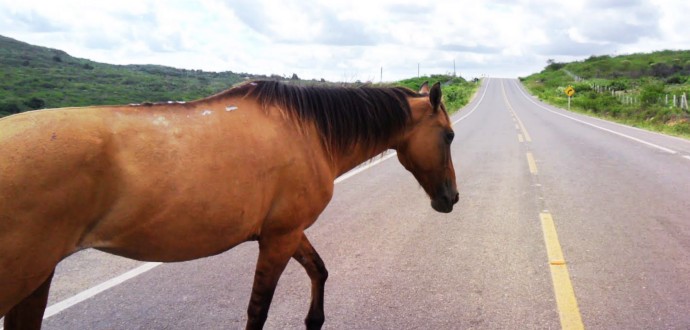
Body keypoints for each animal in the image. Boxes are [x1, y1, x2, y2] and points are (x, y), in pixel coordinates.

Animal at [0, 79, 456, 328]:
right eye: (449, 136)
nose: (451, 198)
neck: (308, 131)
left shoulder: (286, 232)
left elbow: (319, 271)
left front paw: (314, 320)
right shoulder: (279, 238)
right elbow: (258, 310)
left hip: (37, 278)